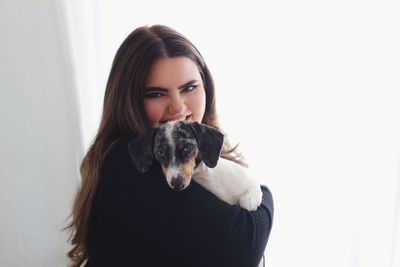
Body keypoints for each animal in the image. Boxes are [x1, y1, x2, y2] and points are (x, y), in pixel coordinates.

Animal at [128, 121, 264, 211]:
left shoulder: (248, 178)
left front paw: (249, 200)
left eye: (187, 147)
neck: (208, 179)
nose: (177, 184)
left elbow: (255, 186)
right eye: (160, 153)